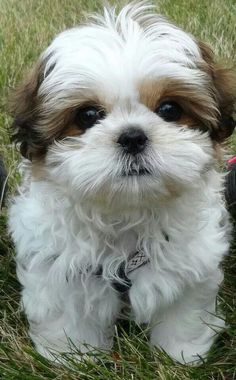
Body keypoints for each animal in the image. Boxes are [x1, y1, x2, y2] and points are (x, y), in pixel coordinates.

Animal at [8, 0, 235, 364]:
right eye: (87, 115)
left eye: (169, 109)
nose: (132, 137)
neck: (128, 213)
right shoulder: (61, 268)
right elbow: (68, 317)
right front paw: (72, 357)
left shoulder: (190, 262)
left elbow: (182, 312)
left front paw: (181, 354)